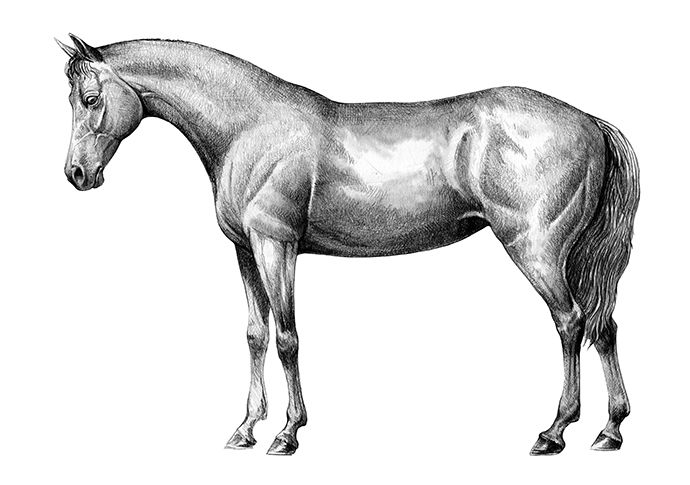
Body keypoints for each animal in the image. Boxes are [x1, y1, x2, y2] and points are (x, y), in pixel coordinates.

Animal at [57, 34, 639, 456]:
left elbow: (287, 337)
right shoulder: (245, 251)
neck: (250, 125)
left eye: (90, 99)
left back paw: (555, 431)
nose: (77, 174)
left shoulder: (276, 245)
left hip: (536, 250)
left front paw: (287, 434)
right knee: (603, 325)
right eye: (72, 100)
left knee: (571, 323)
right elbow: (254, 335)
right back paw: (609, 430)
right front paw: (245, 428)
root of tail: (589, 122)